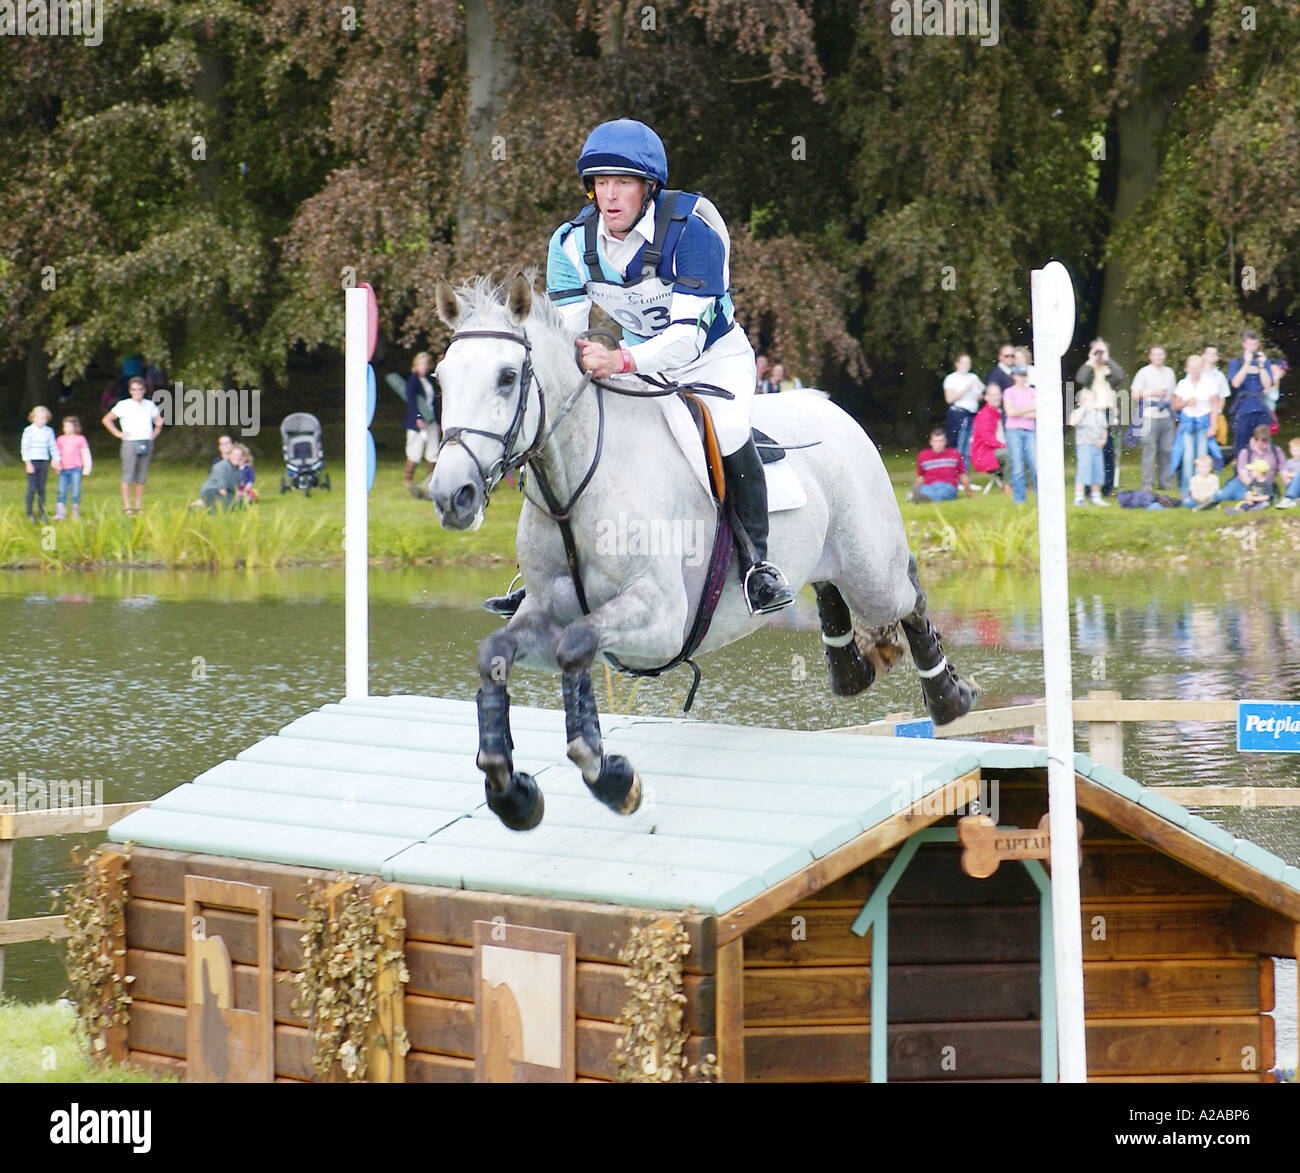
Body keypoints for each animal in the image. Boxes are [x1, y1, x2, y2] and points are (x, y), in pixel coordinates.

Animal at [430, 274, 979, 830]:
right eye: (441, 378)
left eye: (507, 376)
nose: (452, 495)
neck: (577, 487)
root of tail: (827, 405)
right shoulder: (546, 611)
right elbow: (498, 654)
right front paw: (510, 790)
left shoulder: (663, 620)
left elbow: (576, 647)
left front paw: (612, 779)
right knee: (833, 587)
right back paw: (854, 668)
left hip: (871, 573)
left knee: (908, 591)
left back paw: (949, 698)